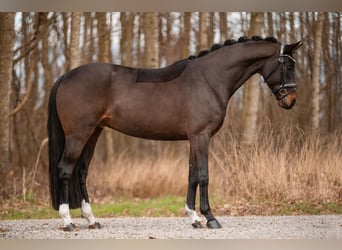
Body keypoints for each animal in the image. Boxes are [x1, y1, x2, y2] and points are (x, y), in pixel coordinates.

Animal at [47, 36, 302, 230]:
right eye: (288, 66)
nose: (291, 100)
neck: (209, 79)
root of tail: (66, 76)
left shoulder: (194, 139)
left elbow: (192, 175)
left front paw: (194, 217)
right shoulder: (201, 136)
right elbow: (203, 175)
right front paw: (210, 218)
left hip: (94, 132)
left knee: (81, 171)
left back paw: (92, 220)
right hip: (79, 134)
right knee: (66, 170)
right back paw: (67, 221)